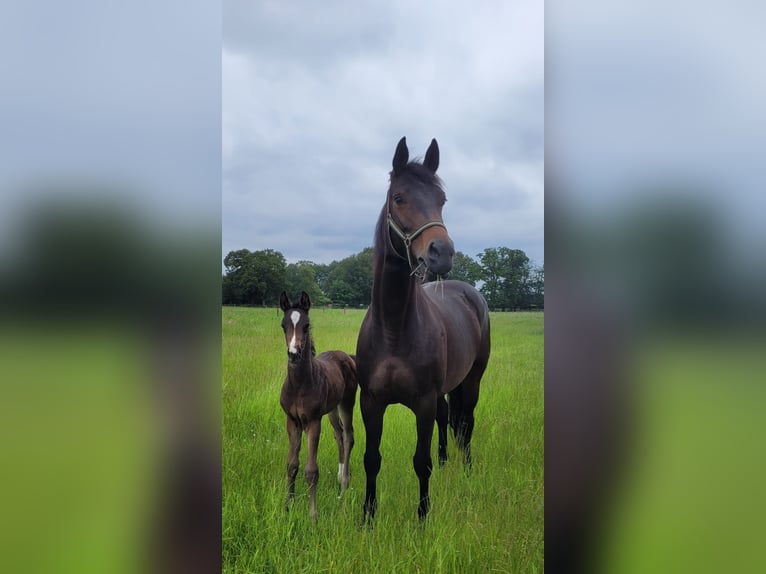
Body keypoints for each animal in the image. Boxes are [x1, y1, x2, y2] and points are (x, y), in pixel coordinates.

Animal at [280, 292, 356, 520]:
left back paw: (344, 486)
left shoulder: (313, 422)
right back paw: (340, 477)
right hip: (332, 409)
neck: (299, 385)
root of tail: (346, 355)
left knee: (348, 436)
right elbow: (292, 465)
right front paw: (288, 505)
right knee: (339, 435)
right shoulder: (292, 421)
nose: (294, 354)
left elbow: (311, 471)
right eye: (283, 325)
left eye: (306, 325)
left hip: (347, 403)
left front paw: (313, 515)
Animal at [358, 138, 496, 520]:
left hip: (473, 379)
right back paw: (448, 462)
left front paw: (422, 517)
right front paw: (368, 516)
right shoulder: (370, 402)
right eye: (399, 197)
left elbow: (421, 462)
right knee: (447, 417)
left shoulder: (421, 402)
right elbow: (371, 459)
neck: (393, 328)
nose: (441, 253)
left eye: (441, 200)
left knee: (466, 422)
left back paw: (465, 469)